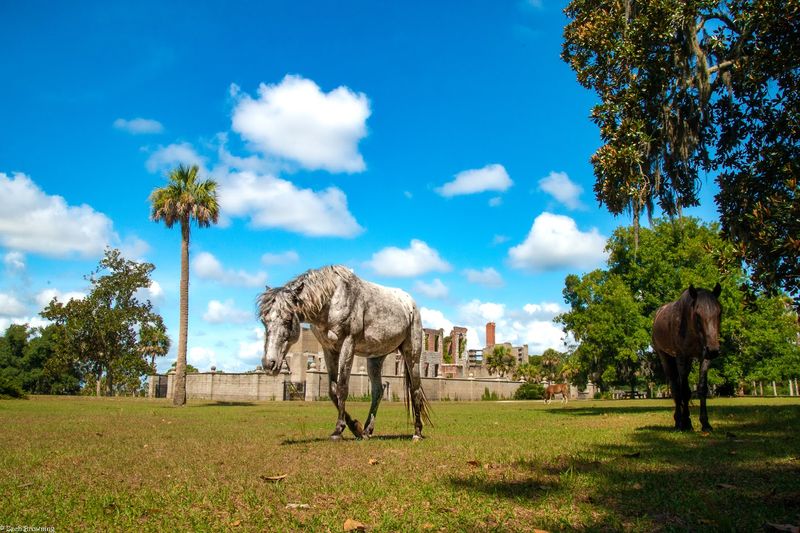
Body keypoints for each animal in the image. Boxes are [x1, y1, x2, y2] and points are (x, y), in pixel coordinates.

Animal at [257, 265, 431, 441]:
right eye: (264, 321)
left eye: (287, 320)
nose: (269, 364)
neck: (332, 300)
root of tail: (411, 304)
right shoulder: (329, 350)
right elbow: (333, 390)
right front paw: (355, 427)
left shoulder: (348, 344)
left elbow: (342, 387)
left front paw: (338, 430)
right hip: (376, 358)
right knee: (378, 391)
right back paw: (367, 430)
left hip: (411, 354)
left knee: (415, 389)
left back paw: (417, 432)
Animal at [652, 283, 722, 431]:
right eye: (697, 314)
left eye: (719, 312)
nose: (713, 350)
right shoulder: (681, 357)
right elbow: (684, 391)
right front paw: (685, 422)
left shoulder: (704, 358)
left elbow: (702, 388)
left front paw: (705, 423)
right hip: (665, 357)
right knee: (675, 387)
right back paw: (679, 421)